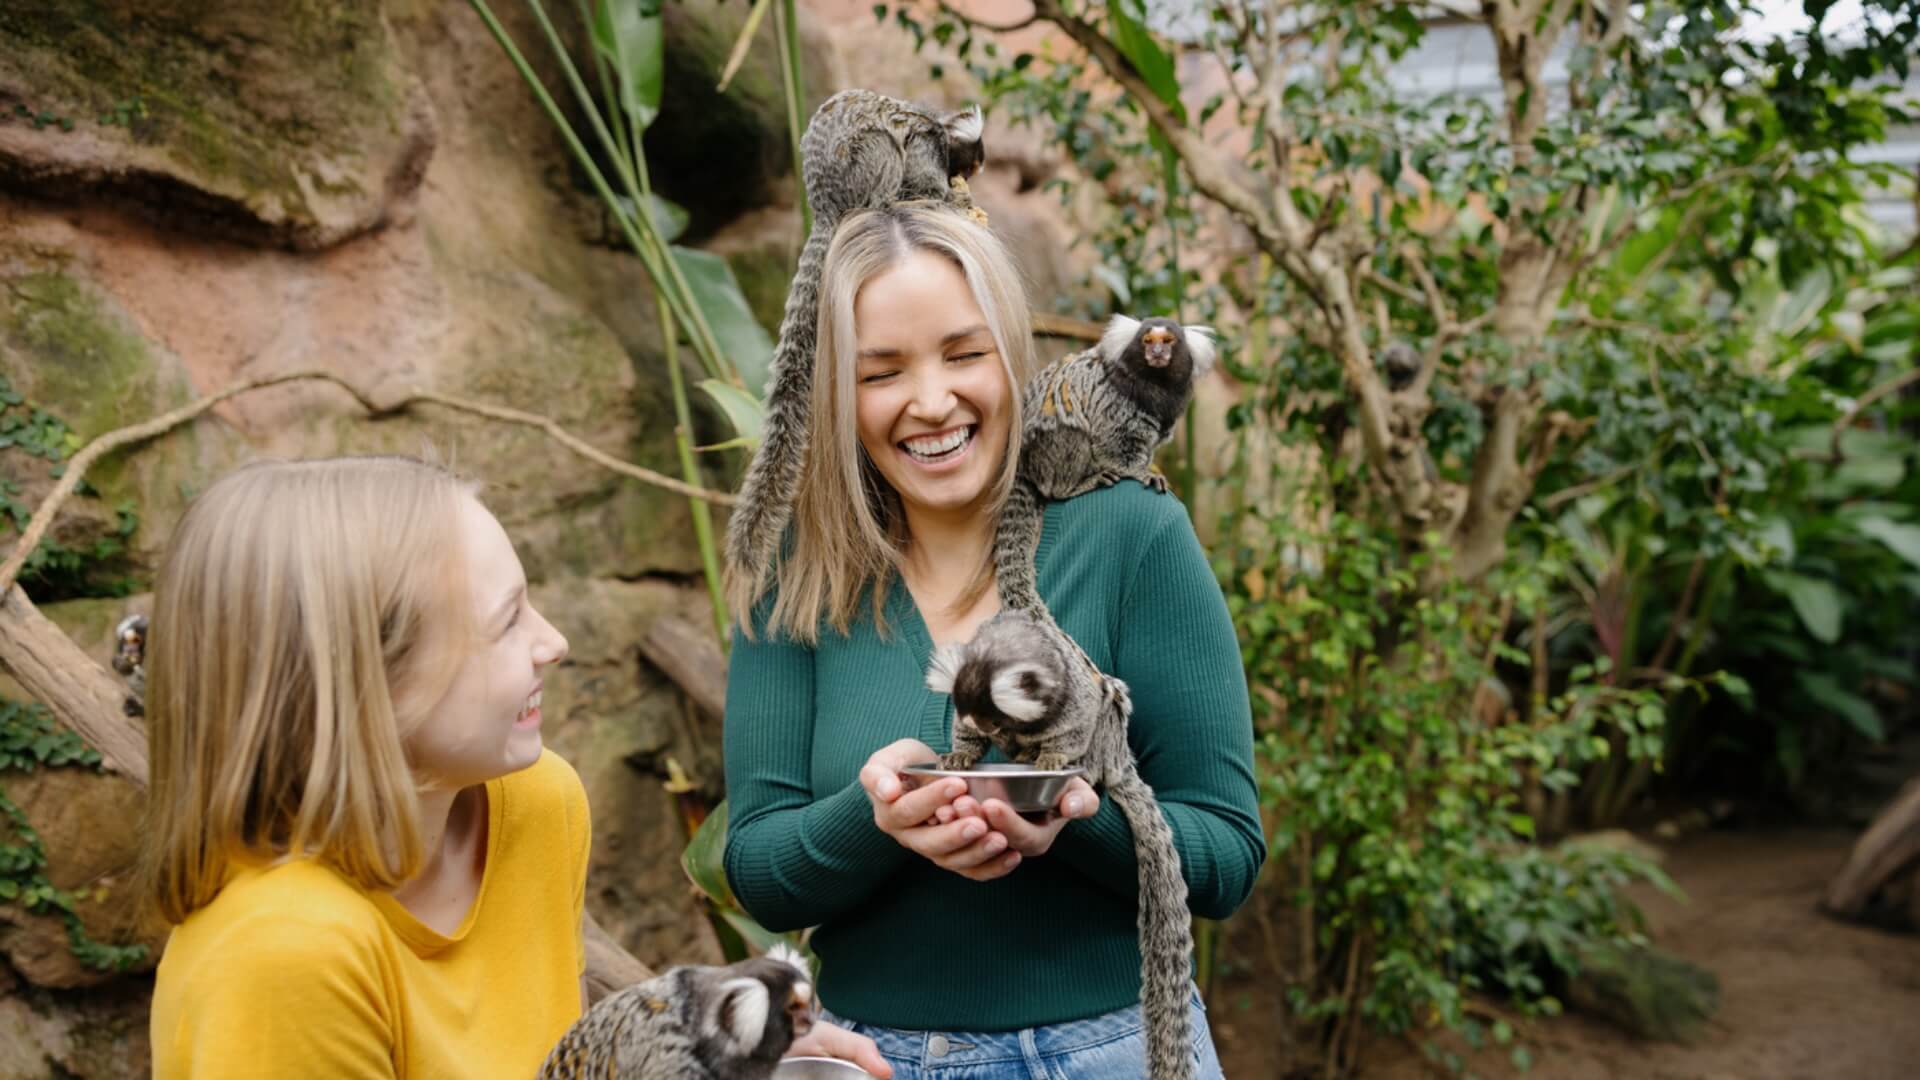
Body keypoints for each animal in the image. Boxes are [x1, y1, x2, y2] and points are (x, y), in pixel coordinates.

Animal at [723, 89, 988, 614]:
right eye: (973, 155)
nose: (978, 167)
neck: (941, 126)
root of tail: (825, 202)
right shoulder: (925, 149)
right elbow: (922, 174)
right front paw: (946, 199)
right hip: (864, 164)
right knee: (883, 156)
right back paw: (886, 200)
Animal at [926, 610, 1195, 1080]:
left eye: (995, 719)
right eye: (981, 722)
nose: (996, 734)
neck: (1008, 646)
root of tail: (1119, 763)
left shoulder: (1073, 698)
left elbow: (1074, 726)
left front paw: (1052, 759)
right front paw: (963, 753)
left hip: (1109, 743)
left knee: (1106, 709)